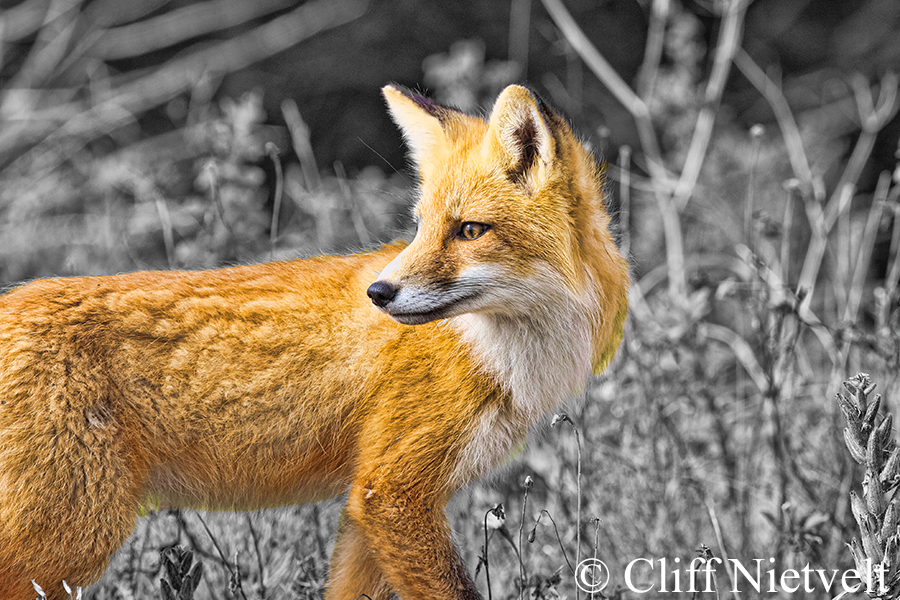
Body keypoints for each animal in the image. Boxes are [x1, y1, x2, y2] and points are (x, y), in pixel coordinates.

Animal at [0, 85, 624, 600]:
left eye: (469, 231)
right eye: (421, 226)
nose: (379, 293)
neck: (496, 353)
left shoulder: (367, 505)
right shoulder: (392, 492)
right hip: (68, 541)